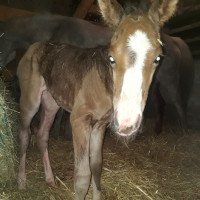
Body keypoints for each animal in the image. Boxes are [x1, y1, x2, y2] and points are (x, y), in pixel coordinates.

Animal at [0, 10, 194, 134]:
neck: (57, 29)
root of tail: (173, 40)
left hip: (169, 81)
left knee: (177, 102)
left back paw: (184, 130)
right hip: (152, 84)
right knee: (158, 103)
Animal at [17, 0, 179, 200]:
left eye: (157, 58)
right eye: (111, 58)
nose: (127, 123)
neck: (104, 86)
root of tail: (36, 45)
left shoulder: (100, 124)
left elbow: (96, 165)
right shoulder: (79, 120)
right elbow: (82, 175)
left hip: (51, 101)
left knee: (42, 134)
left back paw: (50, 179)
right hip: (30, 99)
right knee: (25, 134)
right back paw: (21, 181)